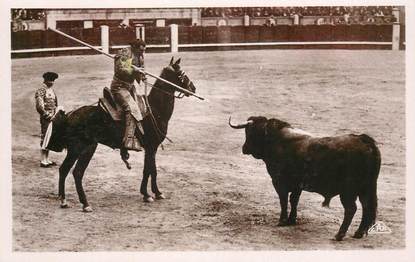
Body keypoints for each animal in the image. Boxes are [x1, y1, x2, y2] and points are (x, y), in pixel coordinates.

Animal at [48, 56, 197, 211]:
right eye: (181, 73)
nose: (193, 88)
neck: (155, 109)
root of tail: (70, 115)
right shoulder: (151, 147)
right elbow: (150, 170)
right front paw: (149, 194)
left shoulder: (152, 148)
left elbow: (151, 169)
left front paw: (154, 193)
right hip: (83, 148)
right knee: (76, 172)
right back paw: (85, 204)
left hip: (78, 150)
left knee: (64, 170)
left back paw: (64, 200)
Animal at [229, 116, 382, 242]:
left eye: (249, 132)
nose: (244, 148)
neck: (276, 140)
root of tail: (363, 140)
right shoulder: (298, 185)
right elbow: (294, 200)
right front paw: (291, 220)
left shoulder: (279, 182)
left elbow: (283, 200)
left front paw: (282, 221)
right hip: (367, 188)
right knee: (367, 207)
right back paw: (358, 233)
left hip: (348, 191)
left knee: (351, 209)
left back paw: (339, 235)